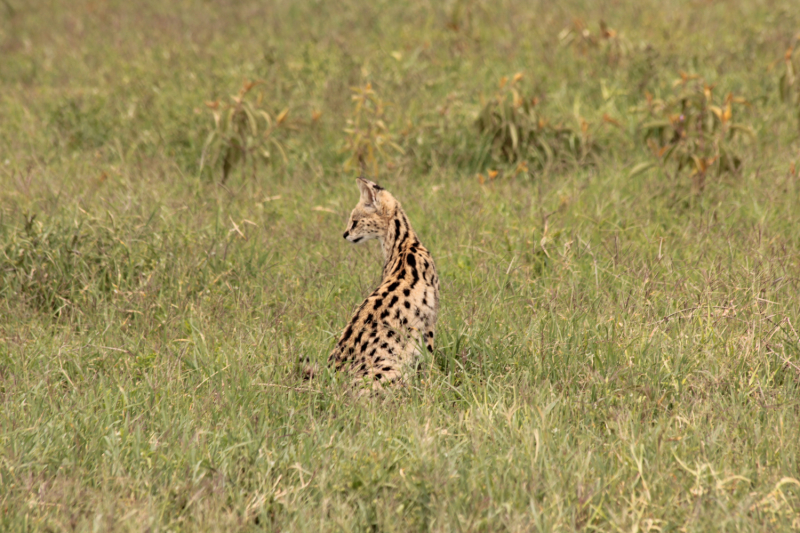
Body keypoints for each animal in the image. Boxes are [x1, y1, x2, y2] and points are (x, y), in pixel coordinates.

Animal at [324, 179, 440, 386]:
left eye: (355, 221)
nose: (344, 234)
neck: (404, 243)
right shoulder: (429, 320)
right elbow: (430, 356)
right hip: (393, 370)